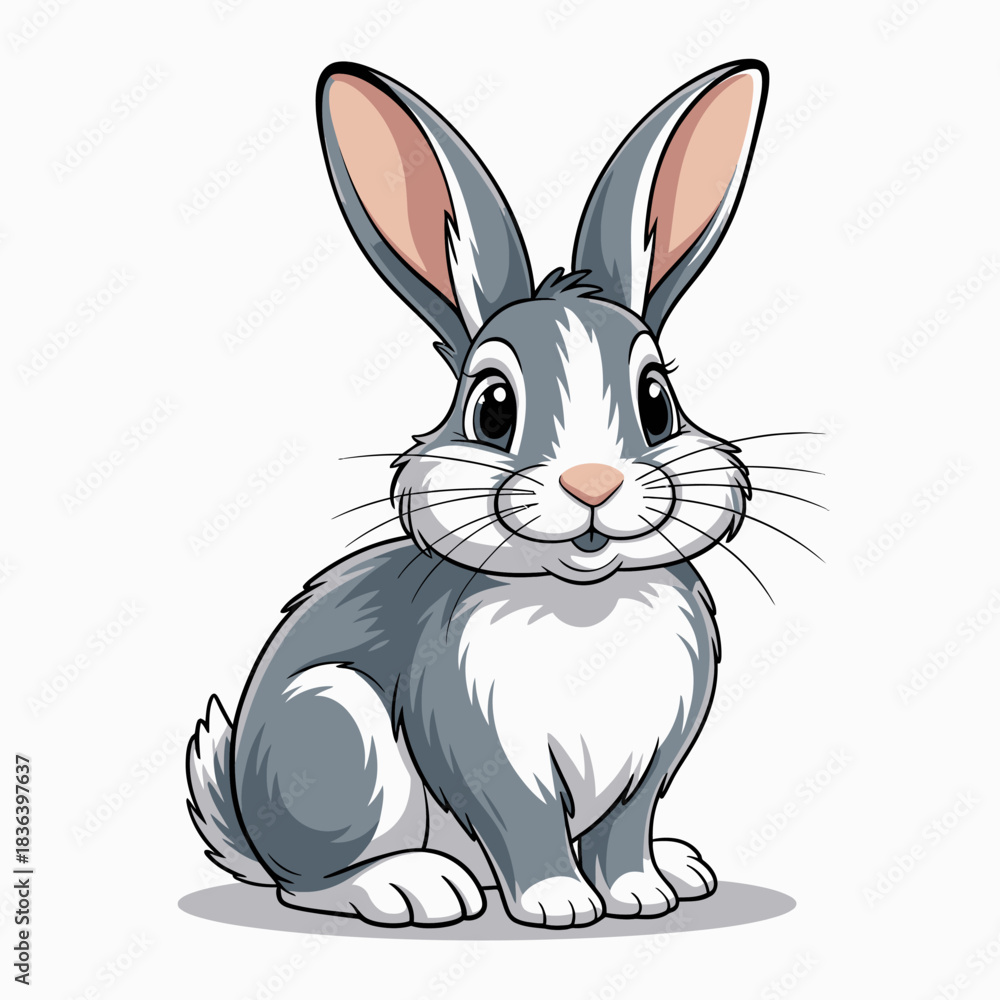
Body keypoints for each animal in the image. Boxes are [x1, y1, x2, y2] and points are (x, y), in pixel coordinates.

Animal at [187, 58, 769, 929]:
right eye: (493, 407)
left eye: (657, 402)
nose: (591, 482)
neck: (582, 599)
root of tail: (250, 830)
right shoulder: (485, 749)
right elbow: (524, 828)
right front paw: (561, 906)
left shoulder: (646, 765)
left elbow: (625, 835)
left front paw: (640, 893)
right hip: (339, 736)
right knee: (309, 881)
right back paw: (413, 887)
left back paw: (679, 865)